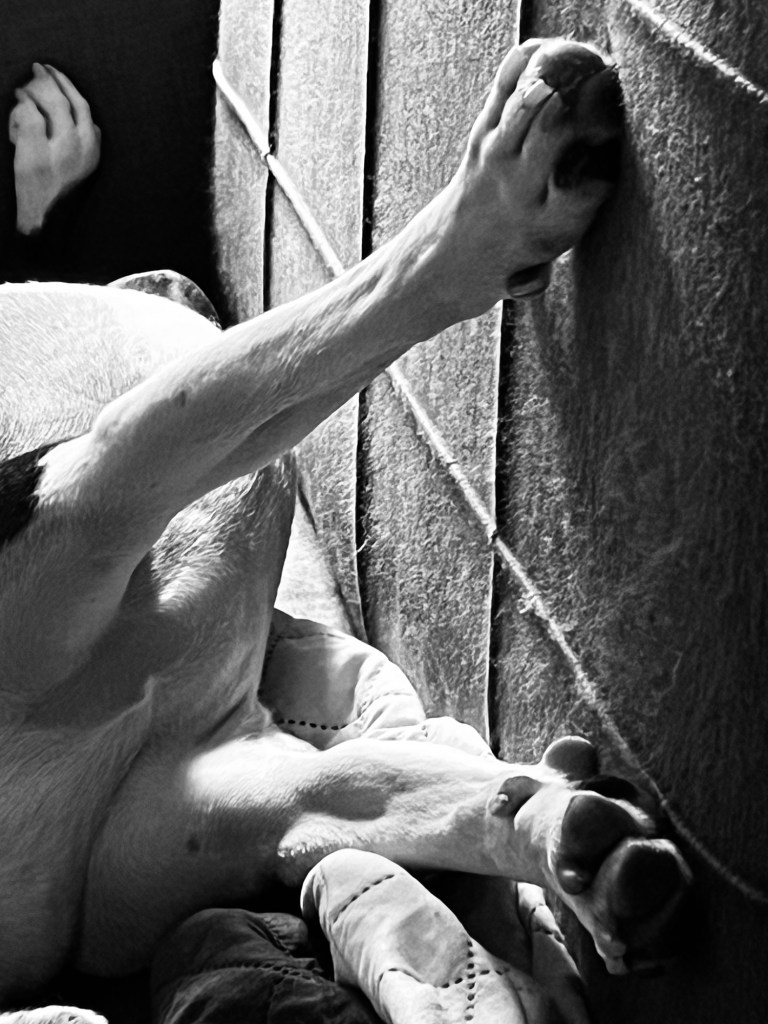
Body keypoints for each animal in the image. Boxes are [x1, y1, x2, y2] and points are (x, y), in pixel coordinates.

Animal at [0, 39, 691, 1006]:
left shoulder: (212, 805)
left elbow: (384, 781)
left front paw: (567, 836)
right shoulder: (72, 508)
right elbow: (241, 375)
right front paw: (496, 207)